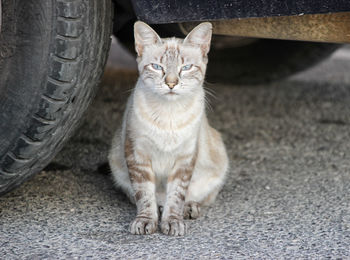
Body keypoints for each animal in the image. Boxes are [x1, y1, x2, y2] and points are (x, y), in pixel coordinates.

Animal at [109, 20, 230, 236]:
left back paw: (189, 208)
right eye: (157, 67)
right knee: (141, 196)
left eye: (186, 67)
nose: (171, 84)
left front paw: (173, 222)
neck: (169, 115)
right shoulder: (137, 154)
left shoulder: (185, 158)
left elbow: (176, 195)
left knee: (197, 197)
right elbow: (144, 195)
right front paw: (146, 221)